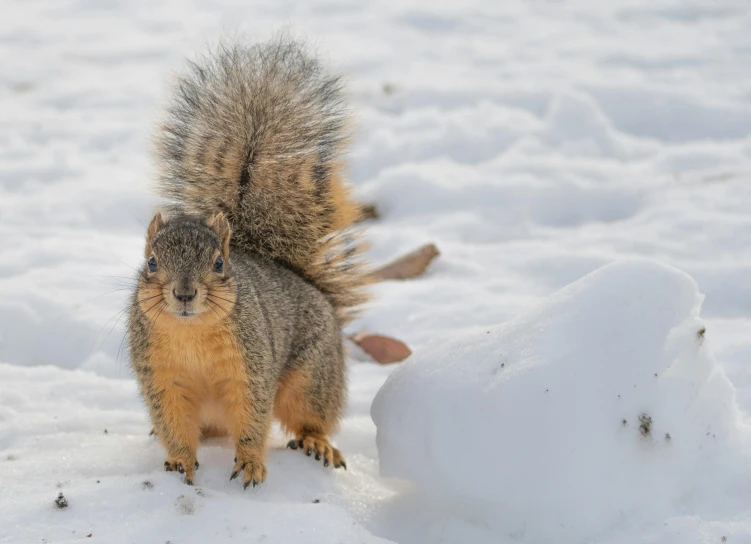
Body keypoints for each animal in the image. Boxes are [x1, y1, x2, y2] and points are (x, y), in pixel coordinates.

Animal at [128, 38, 368, 488]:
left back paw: (318, 443)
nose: (184, 294)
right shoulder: (161, 378)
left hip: (313, 376)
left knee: (312, 416)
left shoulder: (251, 366)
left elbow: (254, 417)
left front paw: (252, 463)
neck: (190, 335)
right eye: (150, 262)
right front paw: (179, 461)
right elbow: (173, 423)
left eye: (219, 264)